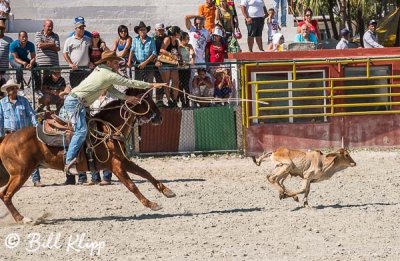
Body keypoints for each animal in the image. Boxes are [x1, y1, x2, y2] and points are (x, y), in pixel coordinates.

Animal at [0, 90, 175, 223]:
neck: (107, 129)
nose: (160, 117)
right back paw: (22, 219)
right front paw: (152, 204)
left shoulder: (123, 161)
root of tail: (6, 138)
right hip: (21, 173)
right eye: (146, 101)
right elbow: (132, 186)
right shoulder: (116, 165)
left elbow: (146, 173)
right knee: (6, 194)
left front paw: (167, 191)